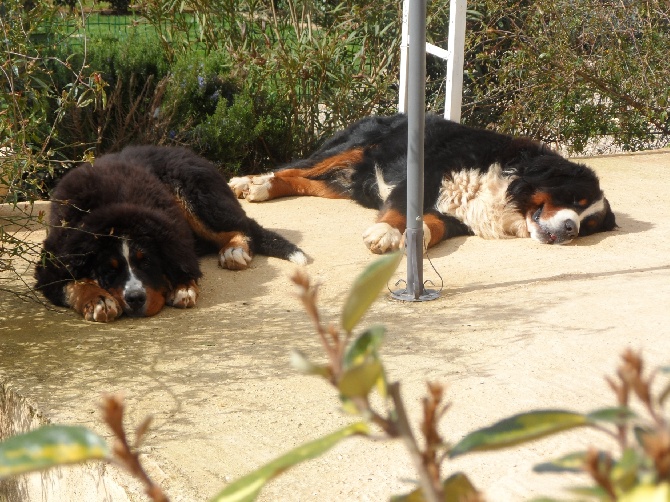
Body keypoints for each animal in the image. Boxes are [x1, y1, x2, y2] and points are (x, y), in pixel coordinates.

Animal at [35, 147, 308, 324]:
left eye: (147, 262)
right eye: (109, 269)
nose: (135, 298)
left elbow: (182, 261)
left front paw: (183, 287)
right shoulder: (52, 263)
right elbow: (74, 282)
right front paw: (98, 299)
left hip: (192, 192)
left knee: (242, 227)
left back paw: (234, 251)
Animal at [231, 113, 620, 251]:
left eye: (589, 226)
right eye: (573, 199)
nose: (570, 229)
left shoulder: (459, 219)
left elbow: (434, 224)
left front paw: (415, 240)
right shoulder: (427, 171)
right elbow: (402, 208)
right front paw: (386, 233)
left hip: (345, 182)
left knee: (303, 180)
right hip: (356, 146)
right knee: (296, 167)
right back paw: (253, 184)